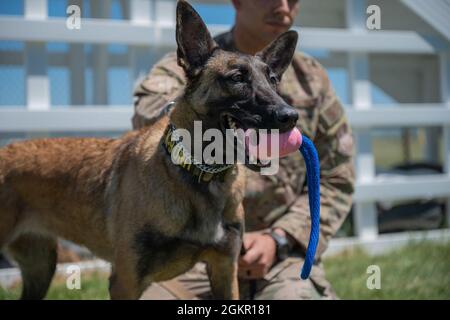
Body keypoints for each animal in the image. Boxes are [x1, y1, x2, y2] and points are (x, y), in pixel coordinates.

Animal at [0, 0, 298, 300]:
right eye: (237, 78)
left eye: (273, 80)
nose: (290, 116)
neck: (199, 173)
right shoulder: (126, 281)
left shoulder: (225, 269)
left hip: (41, 265)